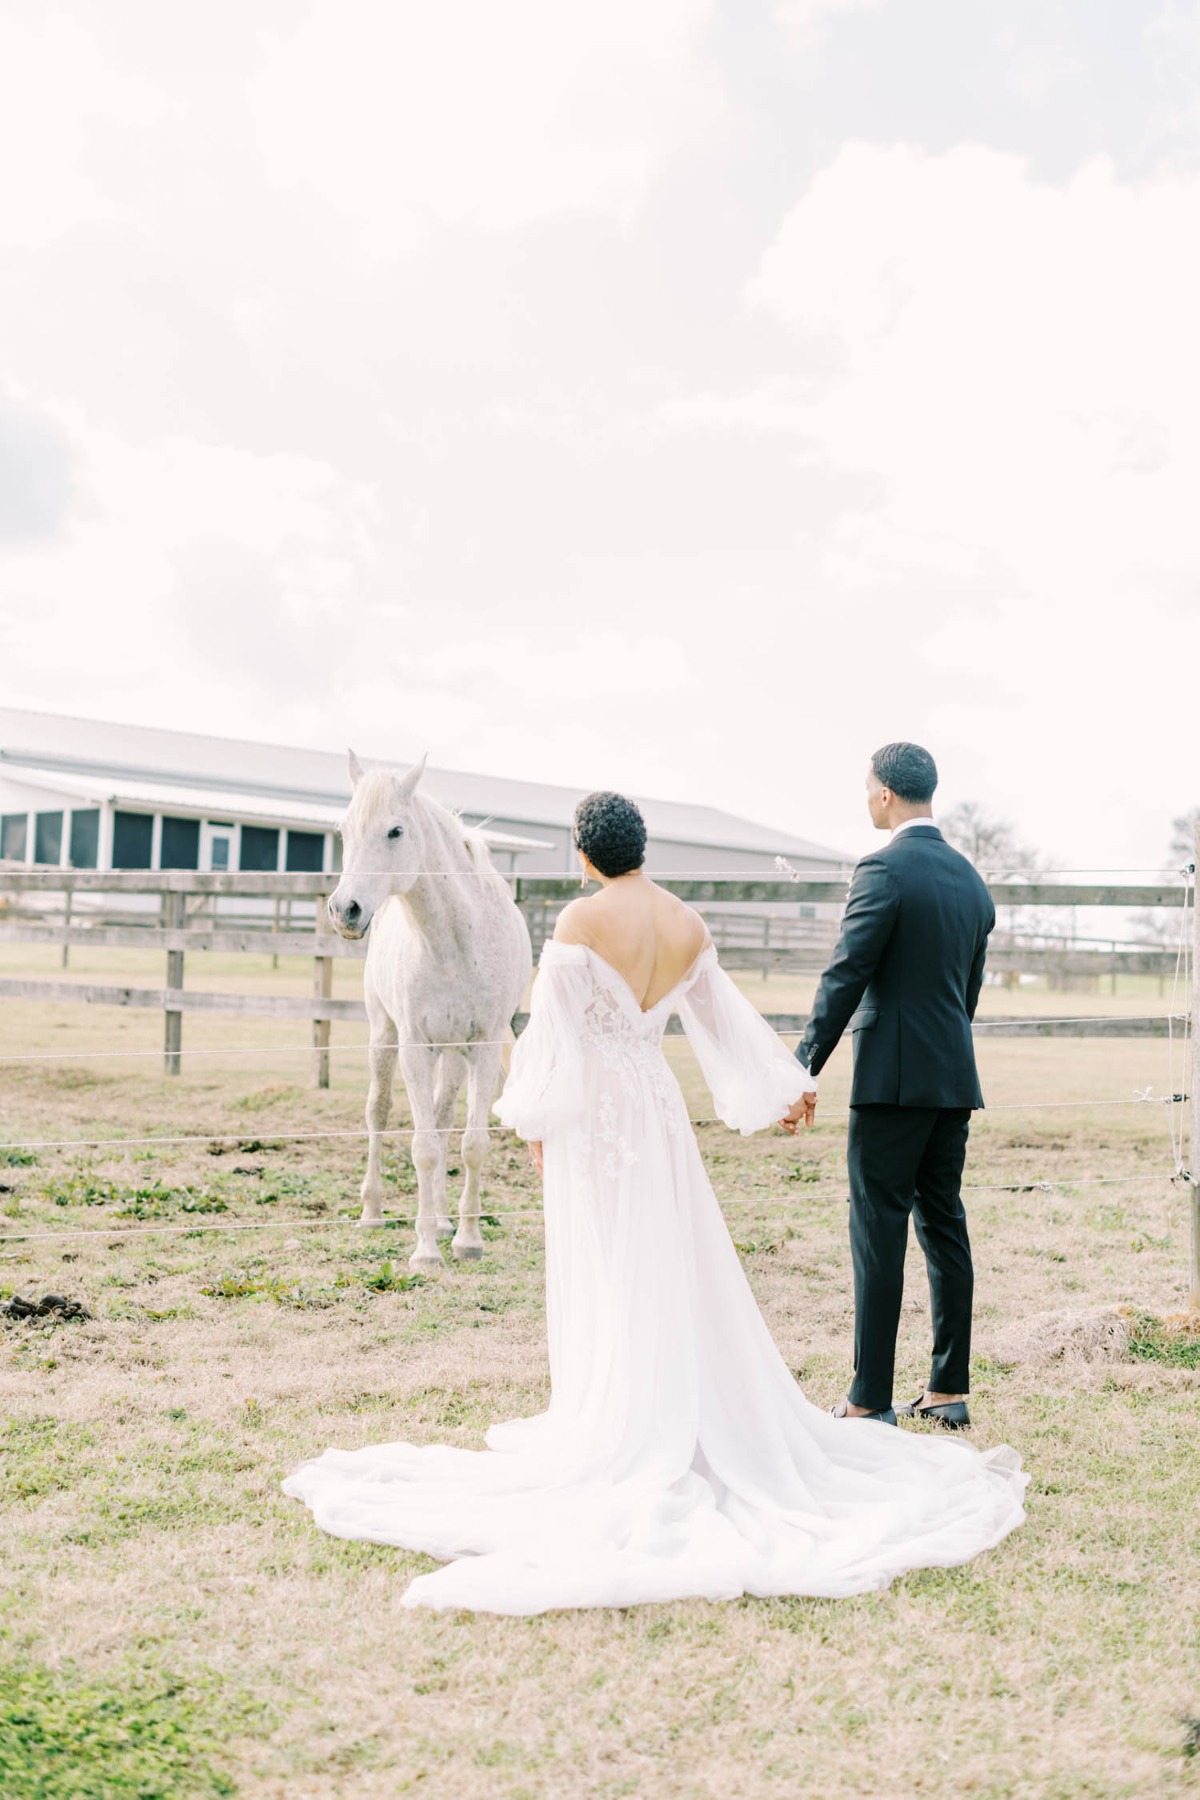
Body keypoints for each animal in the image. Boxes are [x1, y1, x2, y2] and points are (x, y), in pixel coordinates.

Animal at [329, 752, 536, 1274]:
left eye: (395, 831)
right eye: (343, 830)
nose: (345, 910)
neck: (455, 942)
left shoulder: (483, 1047)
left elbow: (471, 1143)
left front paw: (466, 1238)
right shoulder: (414, 1048)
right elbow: (422, 1147)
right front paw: (424, 1251)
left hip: (455, 1054)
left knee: (444, 1119)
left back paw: (443, 1220)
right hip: (383, 1038)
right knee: (378, 1113)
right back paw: (373, 1212)